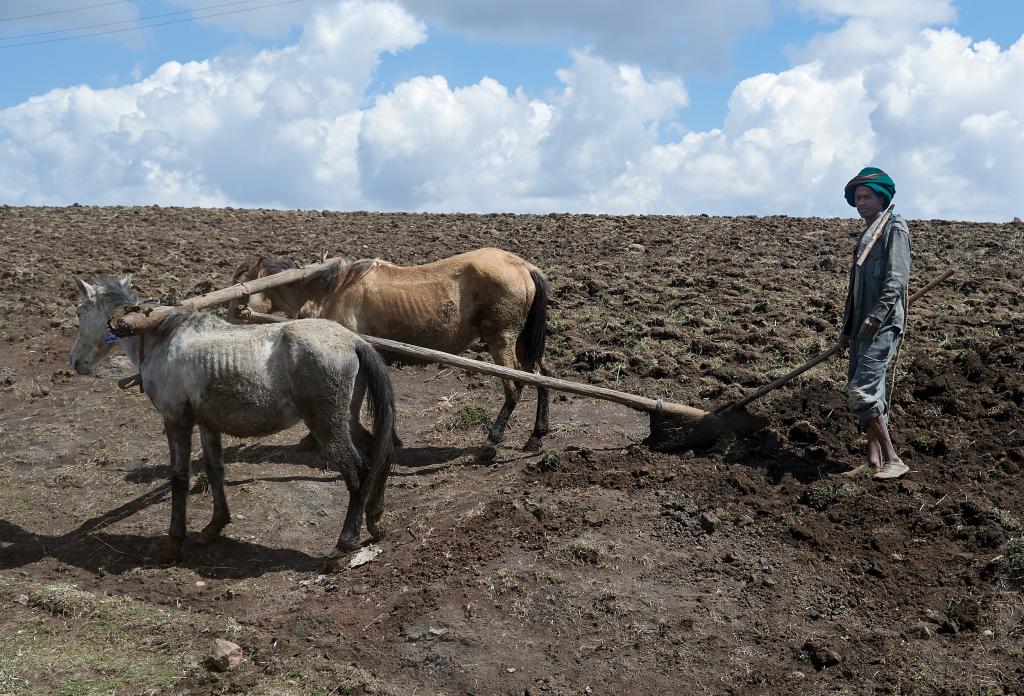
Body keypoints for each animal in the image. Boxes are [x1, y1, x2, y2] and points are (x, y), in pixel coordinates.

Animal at [69, 274, 395, 560]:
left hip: (327, 426)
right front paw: (214, 527)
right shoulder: (207, 424)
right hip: (348, 420)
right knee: (379, 452)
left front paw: (174, 544)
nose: (75, 362)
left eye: (80, 312)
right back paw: (374, 519)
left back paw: (345, 541)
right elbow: (215, 470)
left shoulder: (176, 421)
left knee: (358, 472)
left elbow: (179, 477)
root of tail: (354, 341)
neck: (159, 335)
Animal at [232, 247, 552, 448]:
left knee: (514, 387)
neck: (334, 289)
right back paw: (537, 436)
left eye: (240, 281)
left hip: (502, 339)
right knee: (542, 376)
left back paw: (493, 439)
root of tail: (524, 267)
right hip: (522, 342)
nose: (232, 314)